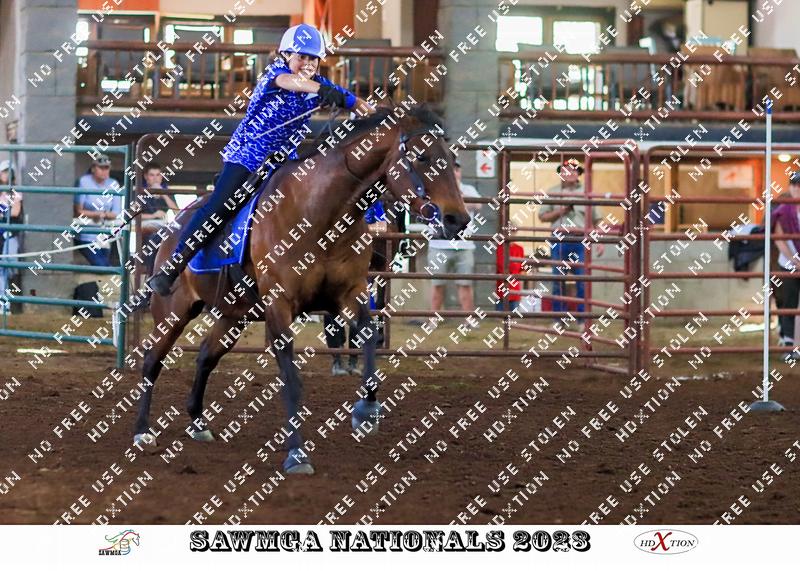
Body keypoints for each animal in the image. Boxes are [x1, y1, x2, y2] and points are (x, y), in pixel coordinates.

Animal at [132, 104, 471, 474]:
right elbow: (292, 380)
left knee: (205, 357)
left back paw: (198, 422)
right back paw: (143, 431)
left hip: (233, 315)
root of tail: (172, 229)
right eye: (422, 157)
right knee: (152, 361)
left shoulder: (348, 293)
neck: (319, 214)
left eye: (452, 158)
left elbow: (368, 335)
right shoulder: (280, 305)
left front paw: (366, 411)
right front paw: (297, 454)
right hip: (173, 313)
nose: (458, 219)